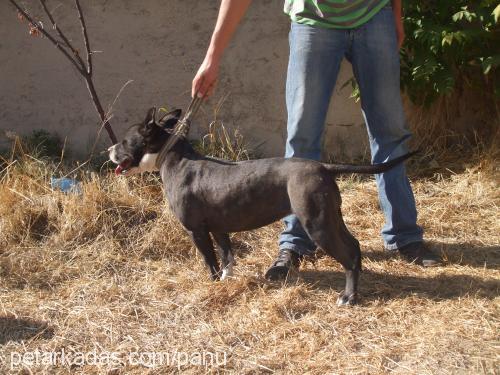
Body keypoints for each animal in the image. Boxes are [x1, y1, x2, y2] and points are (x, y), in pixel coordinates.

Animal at [109, 108, 414, 306]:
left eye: (124, 141)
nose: (110, 150)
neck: (174, 157)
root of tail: (322, 166)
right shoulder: (219, 229)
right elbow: (227, 257)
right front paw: (227, 280)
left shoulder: (196, 231)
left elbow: (210, 261)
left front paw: (213, 283)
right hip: (330, 217)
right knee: (354, 247)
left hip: (317, 225)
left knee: (348, 257)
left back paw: (348, 297)